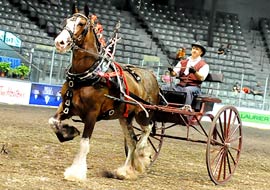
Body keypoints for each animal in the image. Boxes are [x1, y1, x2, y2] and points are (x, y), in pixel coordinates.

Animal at [48, 4, 160, 181]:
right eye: (65, 22)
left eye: (81, 24)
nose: (60, 42)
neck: (88, 74)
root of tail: (151, 74)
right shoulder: (67, 107)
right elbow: (52, 122)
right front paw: (68, 132)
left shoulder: (92, 114)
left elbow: (84, 143)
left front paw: (76, 173)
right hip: (125, 117)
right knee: (132, 141)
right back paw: (125, 171)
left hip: (143, 113)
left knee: (146, 130)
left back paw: (142, 153)